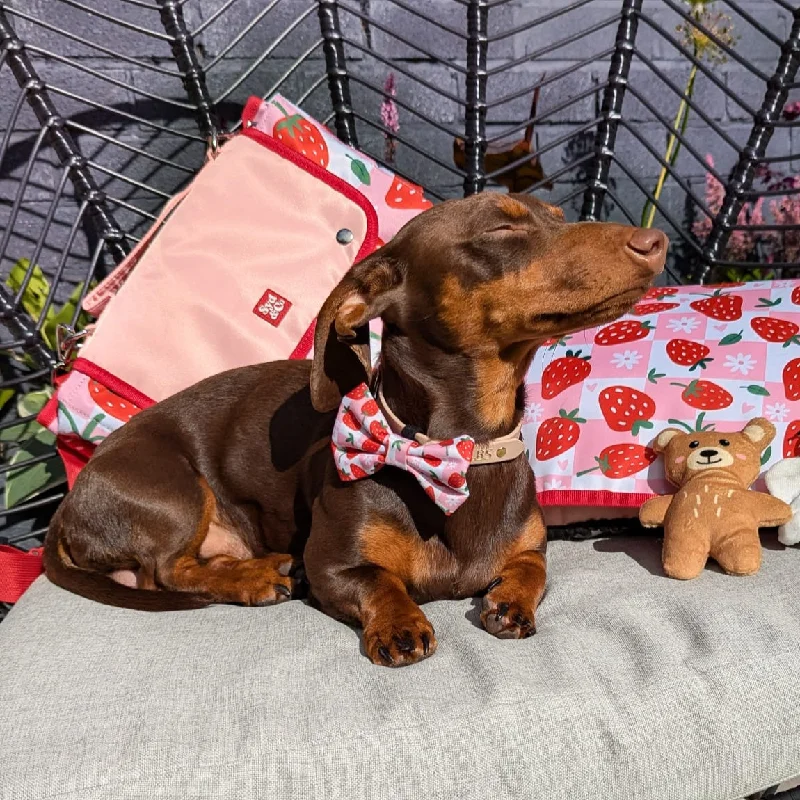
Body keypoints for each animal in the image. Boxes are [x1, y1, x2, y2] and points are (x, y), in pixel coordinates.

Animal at [45, 191, 668, 664]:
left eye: (559, 217)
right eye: (500, 227)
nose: (655, 241)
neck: (461, 449)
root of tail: (67, 504)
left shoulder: (532, 548)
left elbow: (531, 568)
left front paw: (510, 601)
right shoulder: (333, 566)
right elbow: (378, 581)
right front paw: (398, 623)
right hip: (172, 493)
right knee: (166, 572)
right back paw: (255, 580)